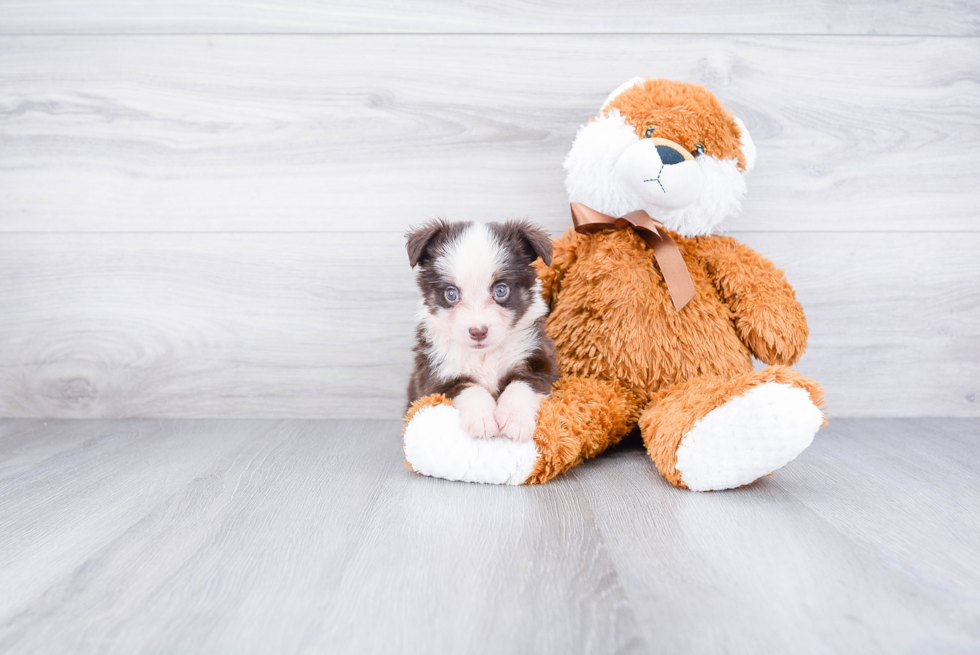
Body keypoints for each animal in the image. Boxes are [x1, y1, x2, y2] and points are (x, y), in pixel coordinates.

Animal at [406, 219, 560, 440]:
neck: (483, 356)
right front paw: (482, 421)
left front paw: (515, 420)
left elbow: (521, 385)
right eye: (451, 293)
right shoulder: (436, 376)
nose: (478, 331)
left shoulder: (539, 359)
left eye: (501, 290)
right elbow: (472, 389)